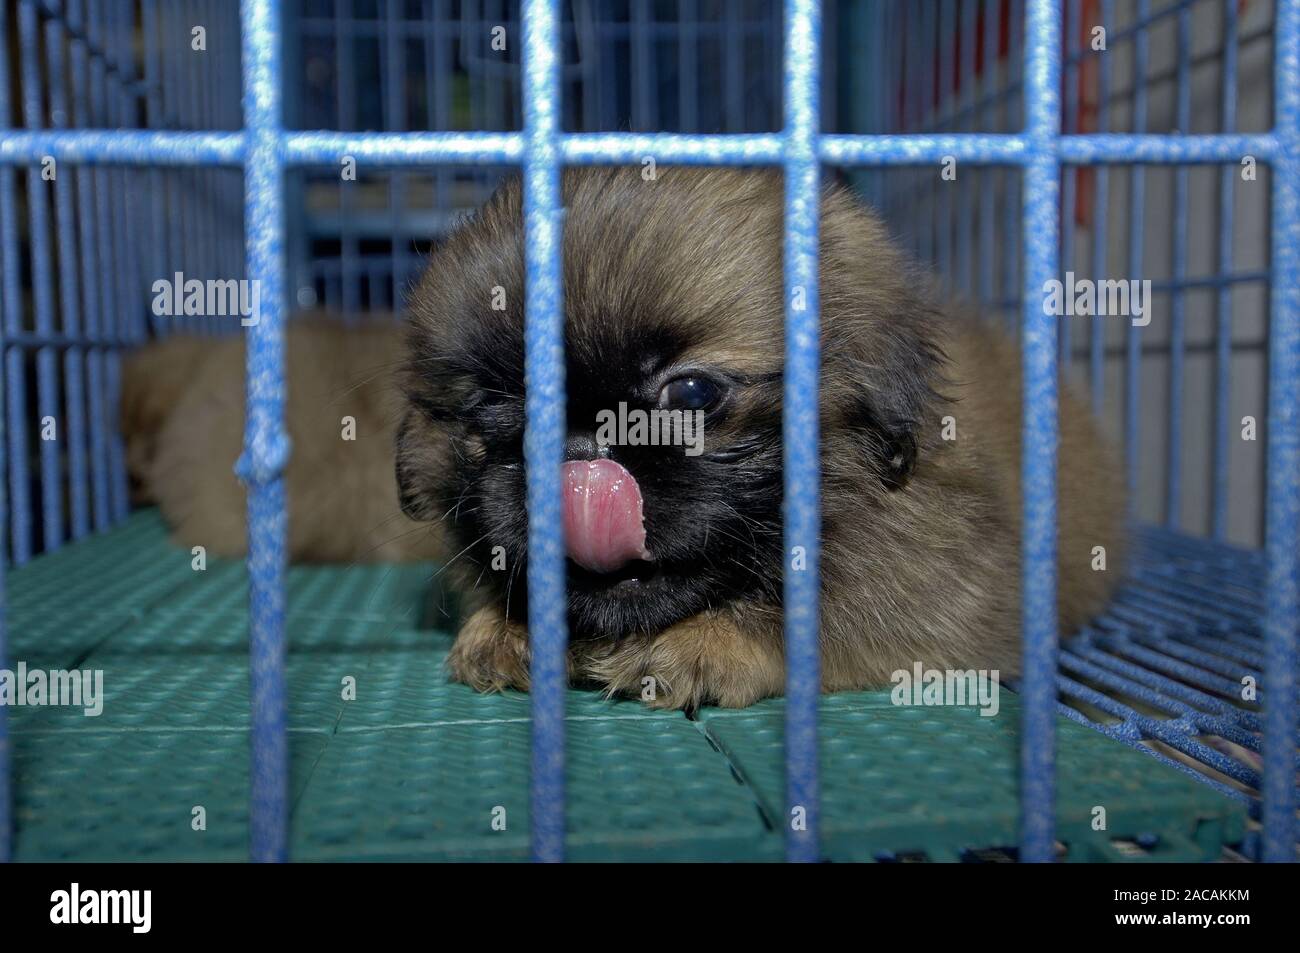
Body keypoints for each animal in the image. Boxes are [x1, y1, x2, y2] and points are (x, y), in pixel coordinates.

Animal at [397, 167, 1128, 712]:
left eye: (693, 395)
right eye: (496, 408)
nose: (579, 452)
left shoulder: (958, 595)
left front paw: (709, 641)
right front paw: (505, 627)